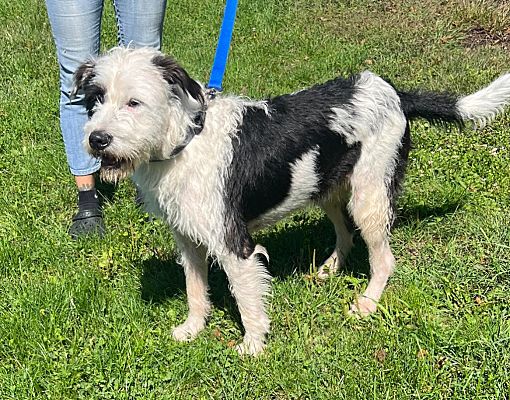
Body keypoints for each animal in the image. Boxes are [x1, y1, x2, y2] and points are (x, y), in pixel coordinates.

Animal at [72, 47, 510, 356]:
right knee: (344, 234)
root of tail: (394, 91)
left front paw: (252, 347)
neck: (184, 142)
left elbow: (247, 301)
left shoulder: (235, 246)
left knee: (384, 258)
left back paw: (367, 303)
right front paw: (193, 329)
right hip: (327, 188)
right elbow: (195, 290)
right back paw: (329, 269)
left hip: (369, 195)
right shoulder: (189, 240)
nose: (97, 139)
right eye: (96, 99)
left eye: (134, 102)